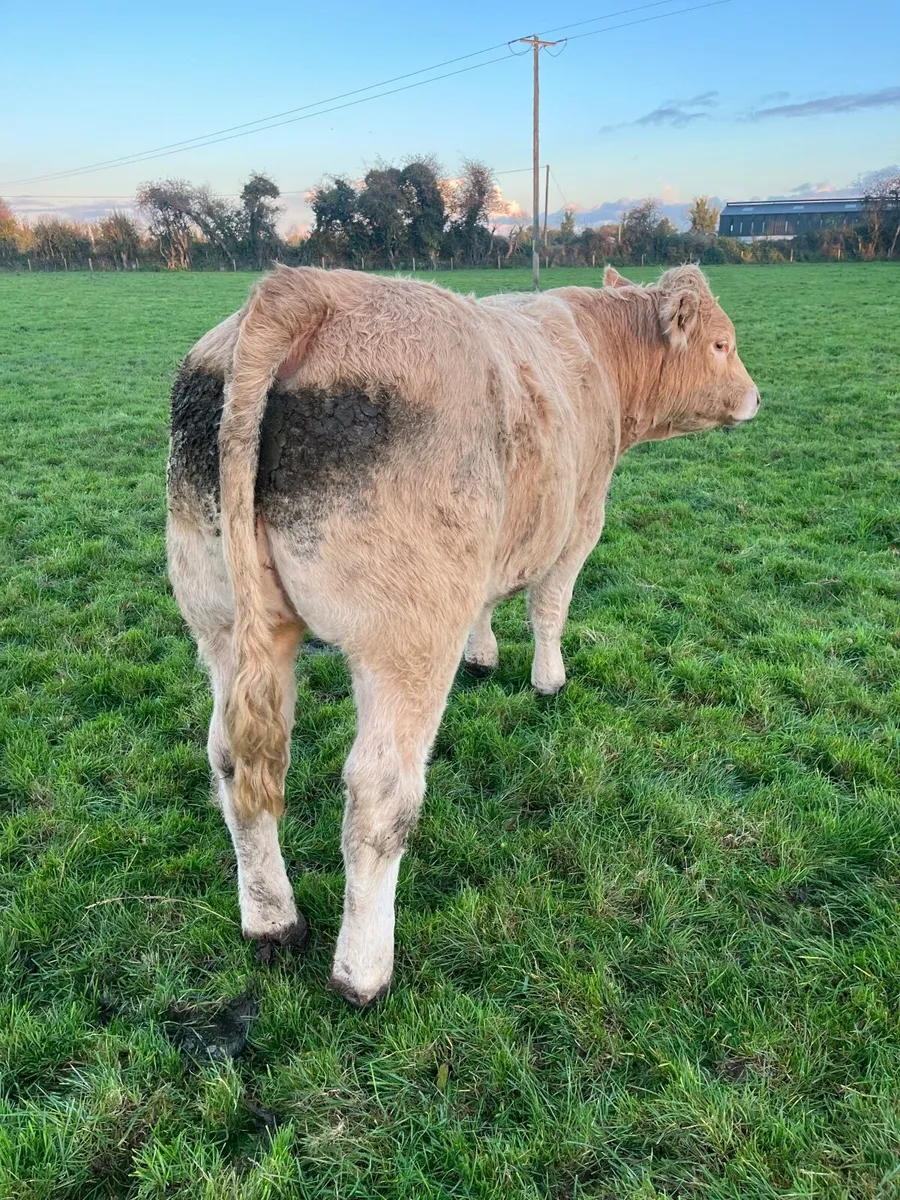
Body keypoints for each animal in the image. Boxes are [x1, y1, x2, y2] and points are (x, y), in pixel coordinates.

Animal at [166, 263, 760, 1006]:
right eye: (721, 345)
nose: (755, 397)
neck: (601, 350)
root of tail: (308, 287)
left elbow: (492, 600)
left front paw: (483, 655)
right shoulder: (578, 524)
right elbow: (549, 608)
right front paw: (548, 681)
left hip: (223, 620)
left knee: (232, 761)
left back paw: (273, 921)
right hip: (406, 641)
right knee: (379, 796)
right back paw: (363, 973)